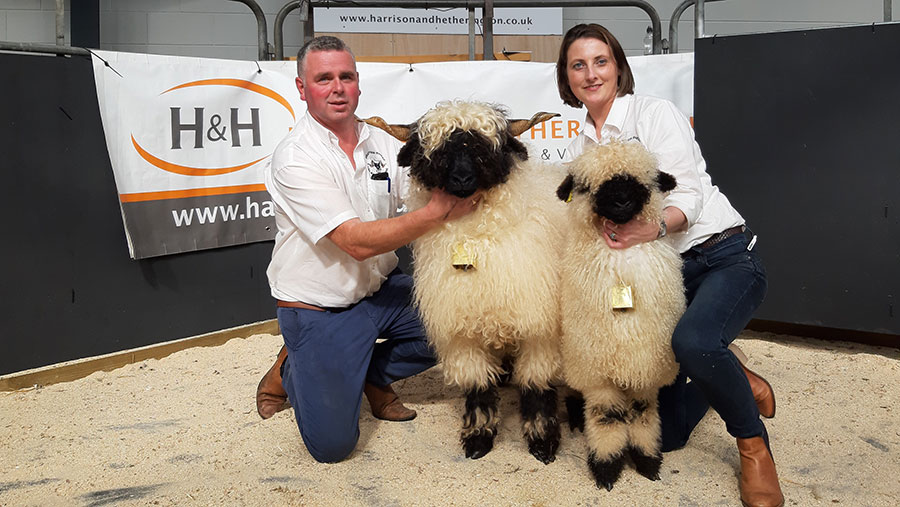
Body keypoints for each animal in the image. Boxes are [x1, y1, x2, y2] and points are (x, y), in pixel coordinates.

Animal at [364, 101, 564, 466]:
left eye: (484, 148)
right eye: (436, 152)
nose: (461, 179)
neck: (475, 240)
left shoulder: (539, 330)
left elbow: (537, 387)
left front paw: (542, 442)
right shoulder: (462, 332)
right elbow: (478, 388)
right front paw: (478, 438)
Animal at [556, 140, 684, 492]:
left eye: (644, 180)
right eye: (586, 186)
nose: (622, 200)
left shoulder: (648, 366)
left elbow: (643, 414)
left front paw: (647, 461)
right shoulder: (598, 372)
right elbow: (607, 417)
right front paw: (606, 468)